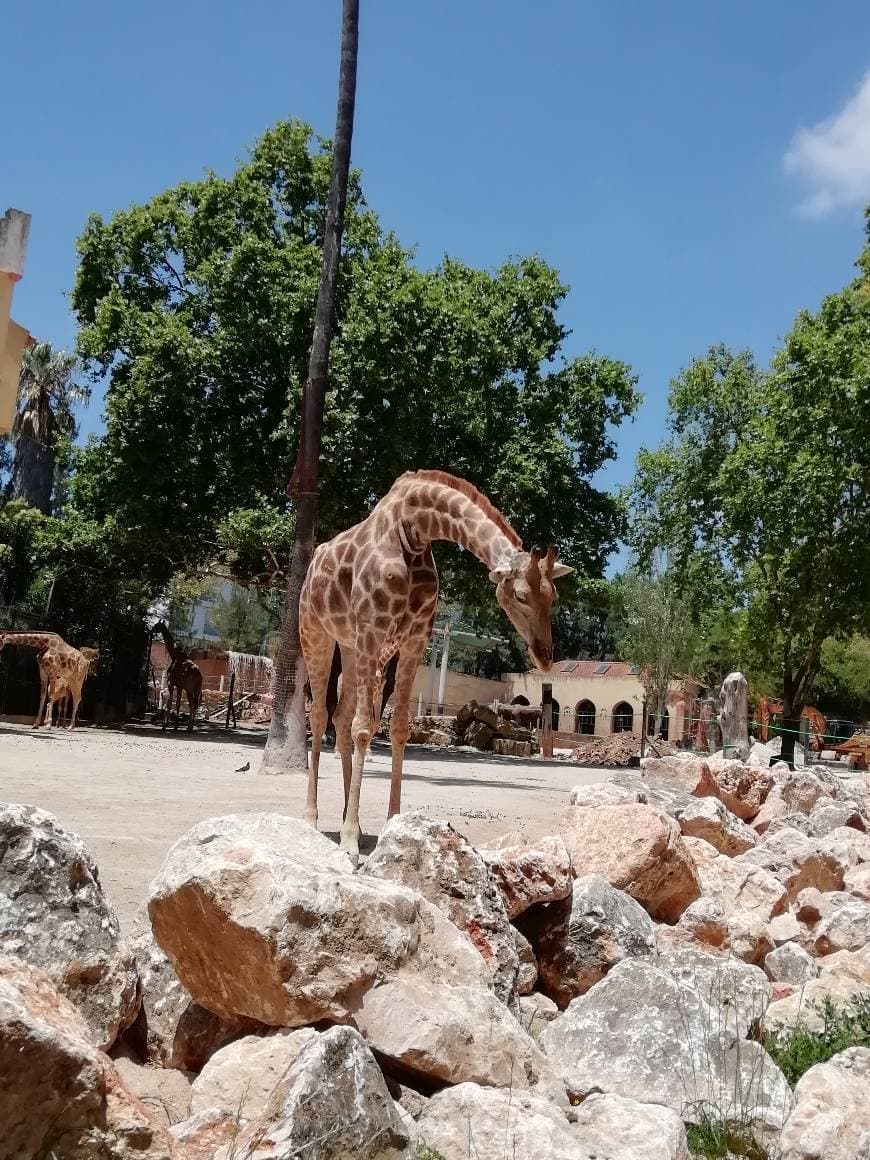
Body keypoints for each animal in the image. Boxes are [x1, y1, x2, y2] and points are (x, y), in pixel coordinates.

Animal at [303, 470, 575, 863]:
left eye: (553, 596)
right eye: (522, 596)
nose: (545, 656)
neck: (413, 532)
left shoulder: (414, 640)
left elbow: (398, 728)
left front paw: (391, 824)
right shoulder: (373, 631)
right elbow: (365, 729)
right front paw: (351, 842)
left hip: (351, 647)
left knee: (339, 717)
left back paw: (346, 818)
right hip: (316, 633)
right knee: (320, 715)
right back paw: (312, 820)